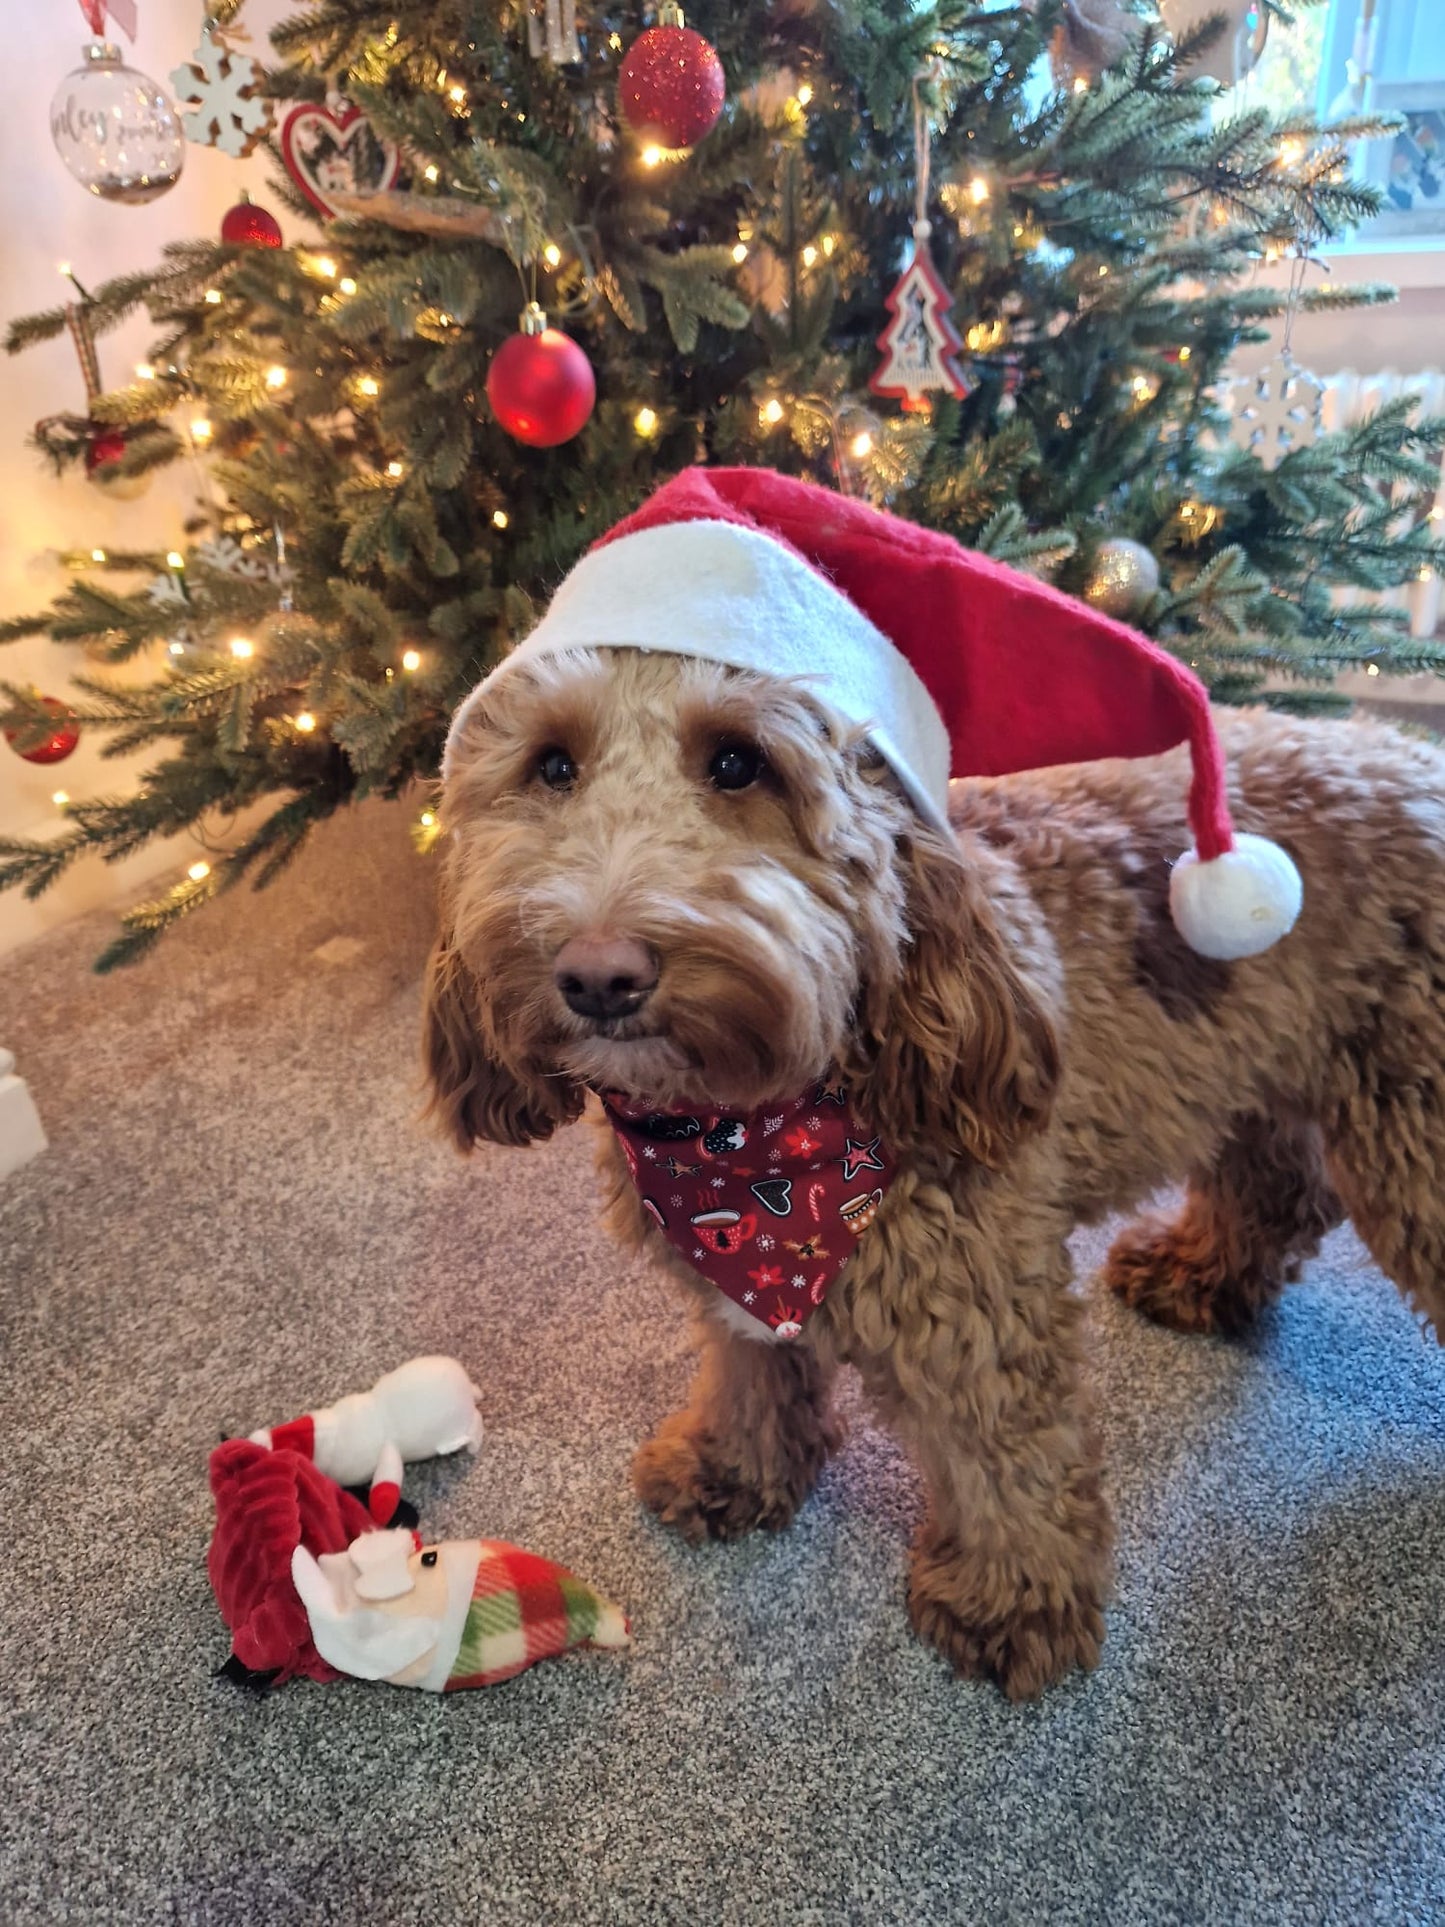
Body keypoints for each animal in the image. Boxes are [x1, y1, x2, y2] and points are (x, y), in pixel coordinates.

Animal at [427, 651, 1445, 1703]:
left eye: (739, 762)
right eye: (552, 765)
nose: (599, 974)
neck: (741, 1141)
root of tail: (1405, 752)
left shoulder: (979, 1300)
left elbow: (1007, 1457)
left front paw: (1011, 1598)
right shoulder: (730, 1272)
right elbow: (752, 1365)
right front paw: (734, 1466)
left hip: (1408, 1119)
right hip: (1266, 1065)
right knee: (1279, 1185)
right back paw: (1200, 1274)